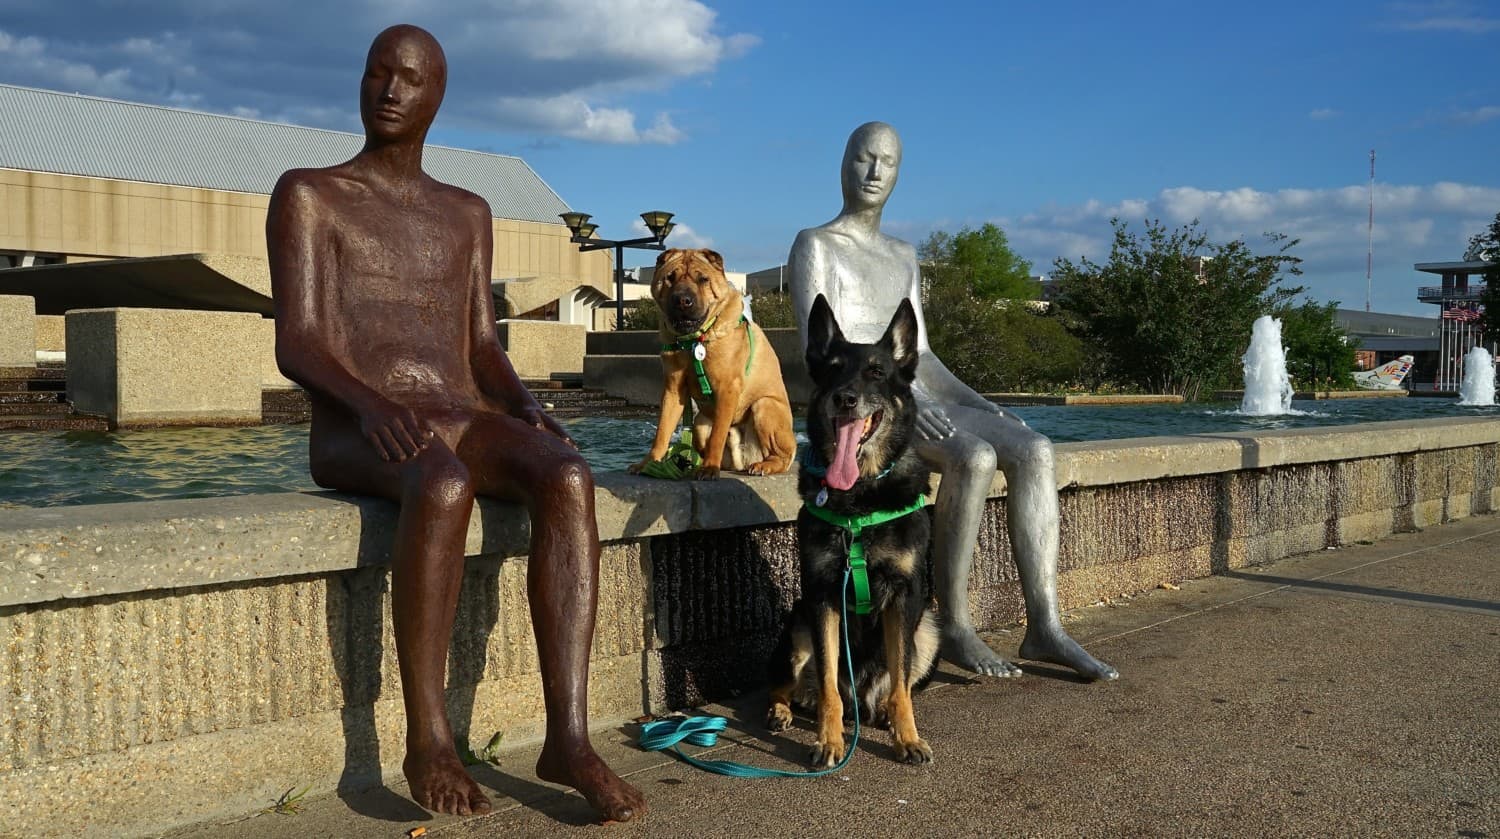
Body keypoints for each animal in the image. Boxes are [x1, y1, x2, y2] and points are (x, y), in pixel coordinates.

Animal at [627, 247, 804, 480]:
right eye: (670, 277)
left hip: (765, 406)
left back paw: (763, 466)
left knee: (781, 456)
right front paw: (648, 463)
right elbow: (662, 432)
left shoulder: (727, 388)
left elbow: (717, 436)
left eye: (703, 279)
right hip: (700, 423)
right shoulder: (673, 390)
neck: (693, 341)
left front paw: (709, 468)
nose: (682, 300)